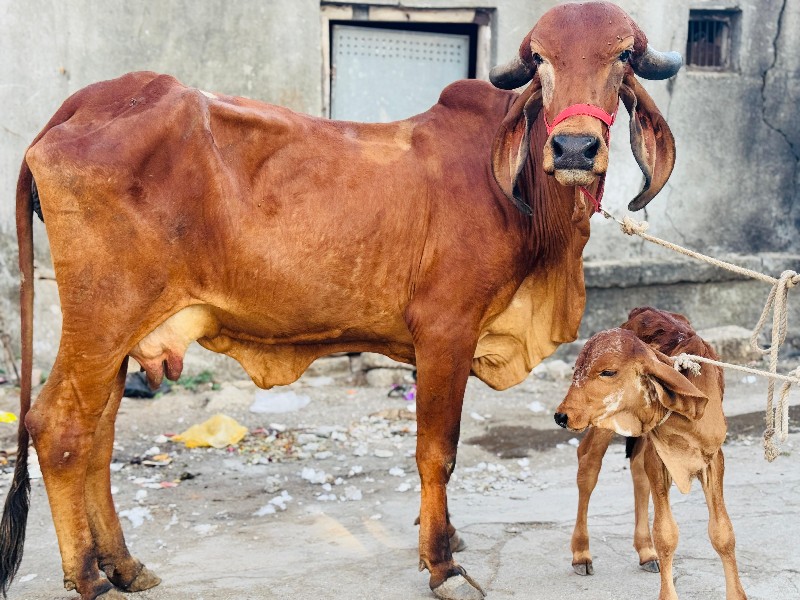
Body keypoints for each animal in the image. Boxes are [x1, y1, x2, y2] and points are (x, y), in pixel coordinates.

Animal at [0, 4, 680, 600]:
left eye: (623, 57)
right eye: (539, 60)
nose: (574, 149)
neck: (529, 203)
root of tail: (85, 104)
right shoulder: (445, 331)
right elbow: (438, 451)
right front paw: (443, 563)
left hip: (120, 333)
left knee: (98, 437)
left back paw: (122, 565)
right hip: (102, 317)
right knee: (59, 428)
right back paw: (90, 578)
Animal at [552, 310, 748, 600]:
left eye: (608, 372)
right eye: (576, 370)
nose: (561, 416)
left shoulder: (713, 459)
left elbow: (723, 533)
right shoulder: (659, 461)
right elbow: (666, 534)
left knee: (636, 471)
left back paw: (645, 551)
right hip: (602, 424)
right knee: (588, 465)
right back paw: (581, 554)